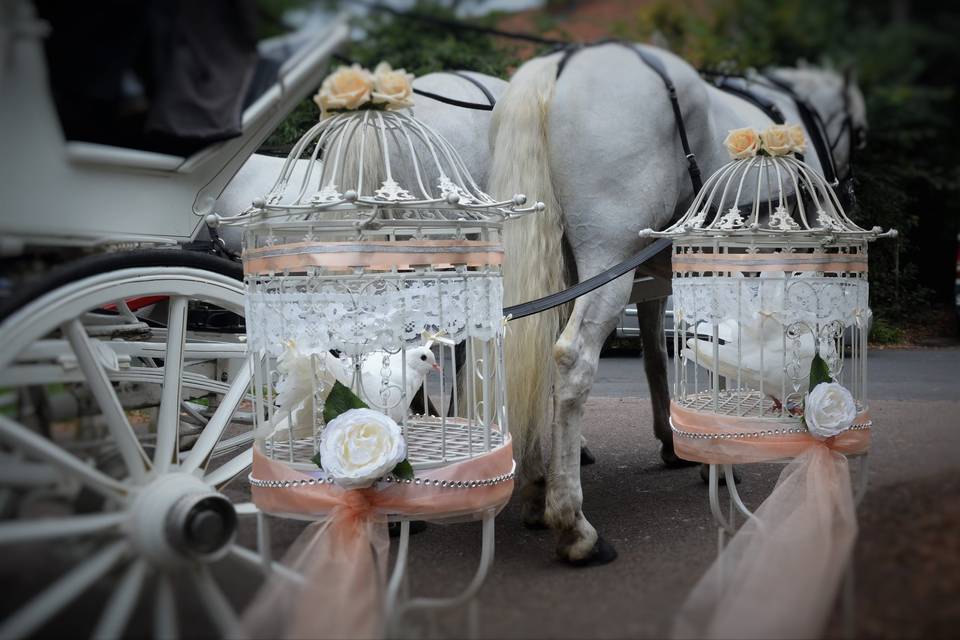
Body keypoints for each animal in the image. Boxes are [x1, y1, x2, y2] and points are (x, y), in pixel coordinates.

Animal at [492, 45, 868, 564]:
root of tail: (562, 64)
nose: (847, 188)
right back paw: (574, 526)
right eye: (862, 134)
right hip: (611, 258)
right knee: (571, 359)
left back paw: (534, 490)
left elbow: (675, 351)